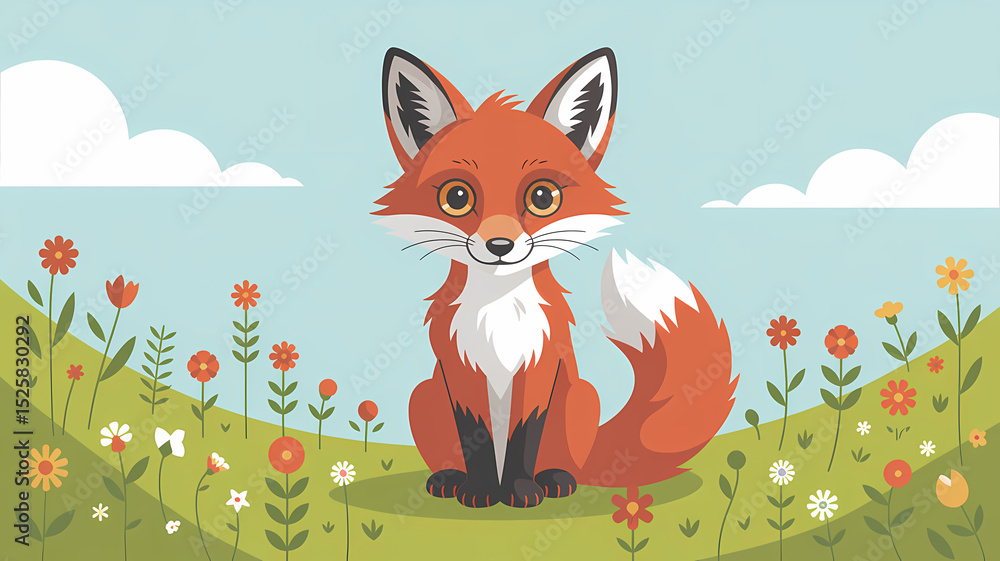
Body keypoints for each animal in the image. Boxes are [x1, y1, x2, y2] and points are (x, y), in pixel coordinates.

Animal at [374, 47, 738, 508]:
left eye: (542, 197)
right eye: (457, 197)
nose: (499, 245)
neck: (499, 313)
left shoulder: (540, 367)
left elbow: (524, 437)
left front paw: (519, 490)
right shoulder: (460, 370)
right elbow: (474, 437)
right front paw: (480, 491)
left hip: (582, 397)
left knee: (567, 463)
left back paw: (556, 479)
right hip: (423, 394)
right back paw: (449, 478)